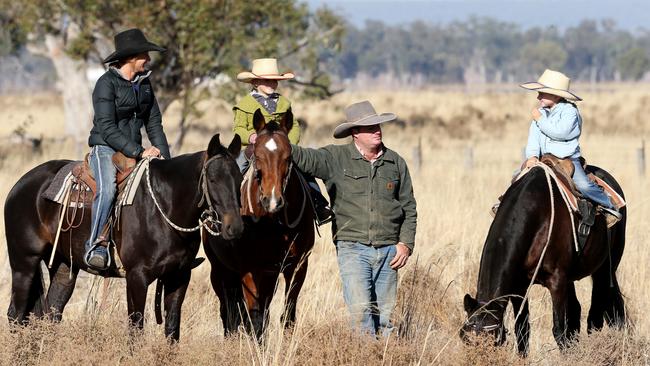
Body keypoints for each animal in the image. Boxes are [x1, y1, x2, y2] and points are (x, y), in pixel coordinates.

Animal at [4, 134, 243, 340]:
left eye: (240, 178)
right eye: (213, 179)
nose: (235, 227)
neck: (165, 207)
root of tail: (21, 184)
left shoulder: (179, 276)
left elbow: (172, 330)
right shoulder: (137, 277)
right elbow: (136, 329)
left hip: (65, 266)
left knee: (51, 313)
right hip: (24, 263)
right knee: (15, 314)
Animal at [202, 108, 314, 338]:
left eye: (288, 157)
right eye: (258, 156)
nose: (272, 201)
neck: (275, 223)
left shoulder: (297, 265)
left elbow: (287, 315)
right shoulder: (249, 269)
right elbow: (254, 317)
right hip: (219, 270)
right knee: (228, 310)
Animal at [458, 160, 624, 354]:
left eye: (493, 341)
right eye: (466, 340)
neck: (536, 217)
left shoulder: (557, 282)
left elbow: (559, 329)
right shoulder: (520, 287)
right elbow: (522, 330)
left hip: (605, 268)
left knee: (598, 312)